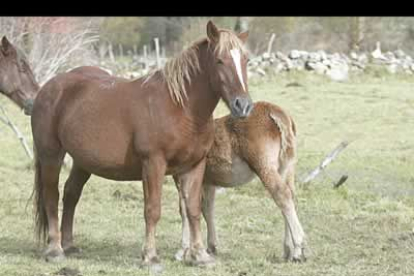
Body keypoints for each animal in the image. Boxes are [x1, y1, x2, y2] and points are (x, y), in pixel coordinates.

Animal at [29, 21, 252, 268]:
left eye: (245, 60)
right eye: (219, 60)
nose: (243, 105)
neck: (181, 108)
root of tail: (48, 88)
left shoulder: (194, 166)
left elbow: (193, 209)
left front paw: (200, 255)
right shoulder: (153, 163)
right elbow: (152, 210)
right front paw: (150, 257)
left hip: (82, 161)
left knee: (71, 194)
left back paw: (68, 245)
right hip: (51, 155)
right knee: (52, 196)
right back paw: (55, 249)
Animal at [173, 102, 306, 264]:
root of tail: (273, 110)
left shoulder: (181, 177)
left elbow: (185, 210)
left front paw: (182, 251)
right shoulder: (208, 182)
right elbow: (207, 208)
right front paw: (211, 247)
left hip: (264, 166)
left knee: (282, 195)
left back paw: (297, 250)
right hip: (286, 167)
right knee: (290, 198)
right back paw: (288, 250)